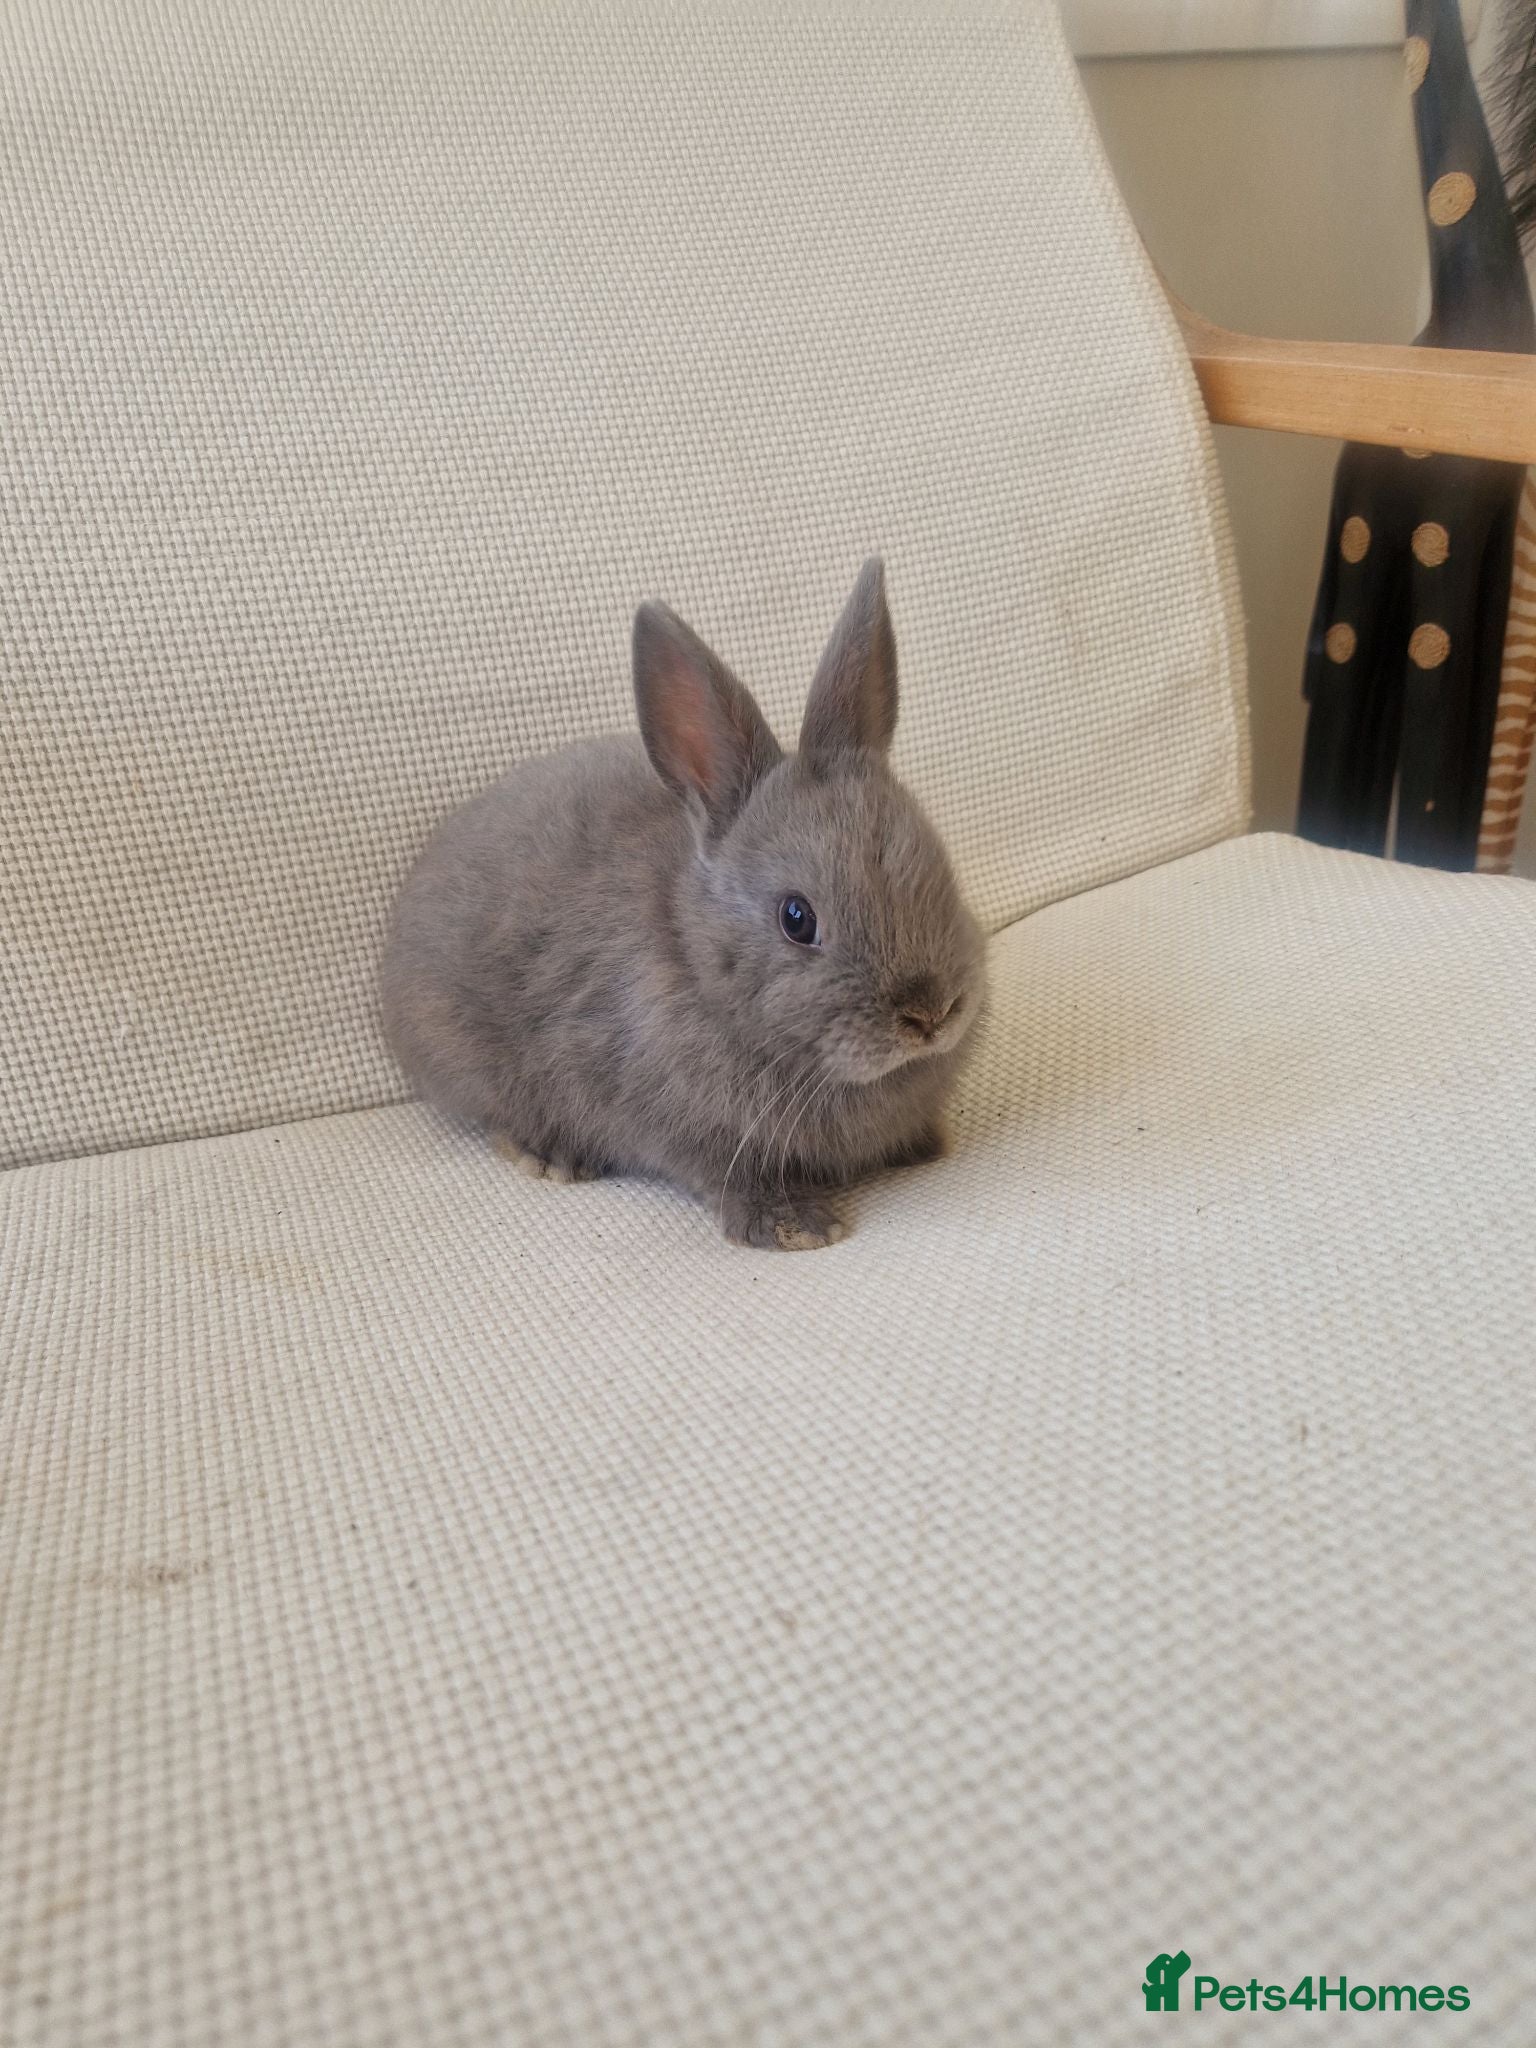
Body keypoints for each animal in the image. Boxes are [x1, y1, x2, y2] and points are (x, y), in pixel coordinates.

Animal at [381, 558, 984, 1250]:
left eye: (940, 868)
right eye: (796, 919)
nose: (929, 1014)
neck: (697, 962)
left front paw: (924, 1144)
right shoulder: (685, 1123)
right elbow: (730, 1171)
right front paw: (796, 1227)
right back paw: (552, 1155)